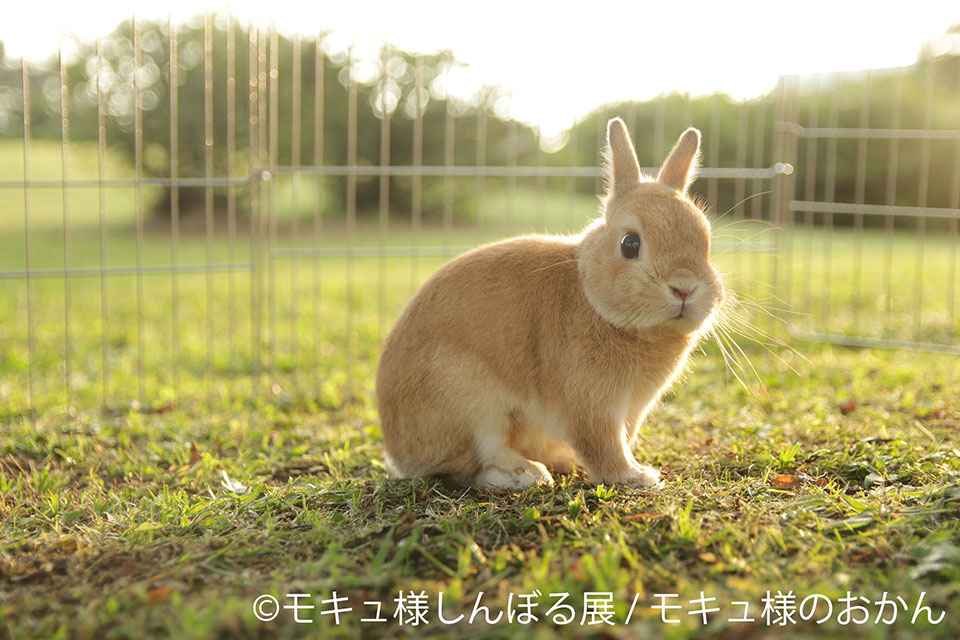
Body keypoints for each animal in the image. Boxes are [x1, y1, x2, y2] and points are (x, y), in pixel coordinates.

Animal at [378, 119, 724, 490]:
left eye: (706, 240)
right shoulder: (591, 405)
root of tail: (398, 453)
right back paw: (526, 473)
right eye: (630, 244)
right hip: (467, 400)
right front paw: (637, 476)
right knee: (475, 462)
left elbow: (620, 439)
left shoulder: (631, 410)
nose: (685, 287)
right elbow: (604, 445)